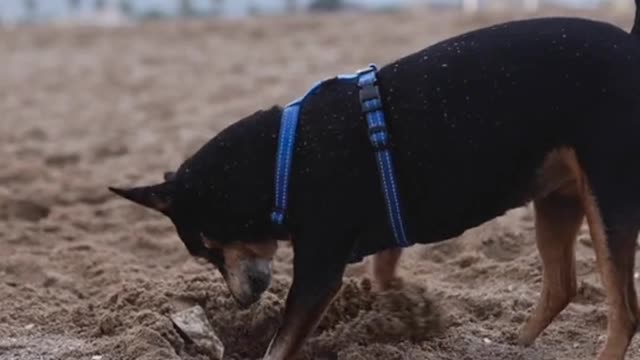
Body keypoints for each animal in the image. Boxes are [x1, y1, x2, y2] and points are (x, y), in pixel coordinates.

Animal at [112, 4, 640, 358]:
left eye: (209, 248)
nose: (242, 299)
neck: (282, 160)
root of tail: (630, 45)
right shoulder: (381, 240)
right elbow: (384, 276)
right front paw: (396, 316)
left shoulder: (317, 274)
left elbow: (280, 344)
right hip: (557, 198)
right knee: (562, 286)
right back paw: (516, 346)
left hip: (608, 196)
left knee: (624, 312)